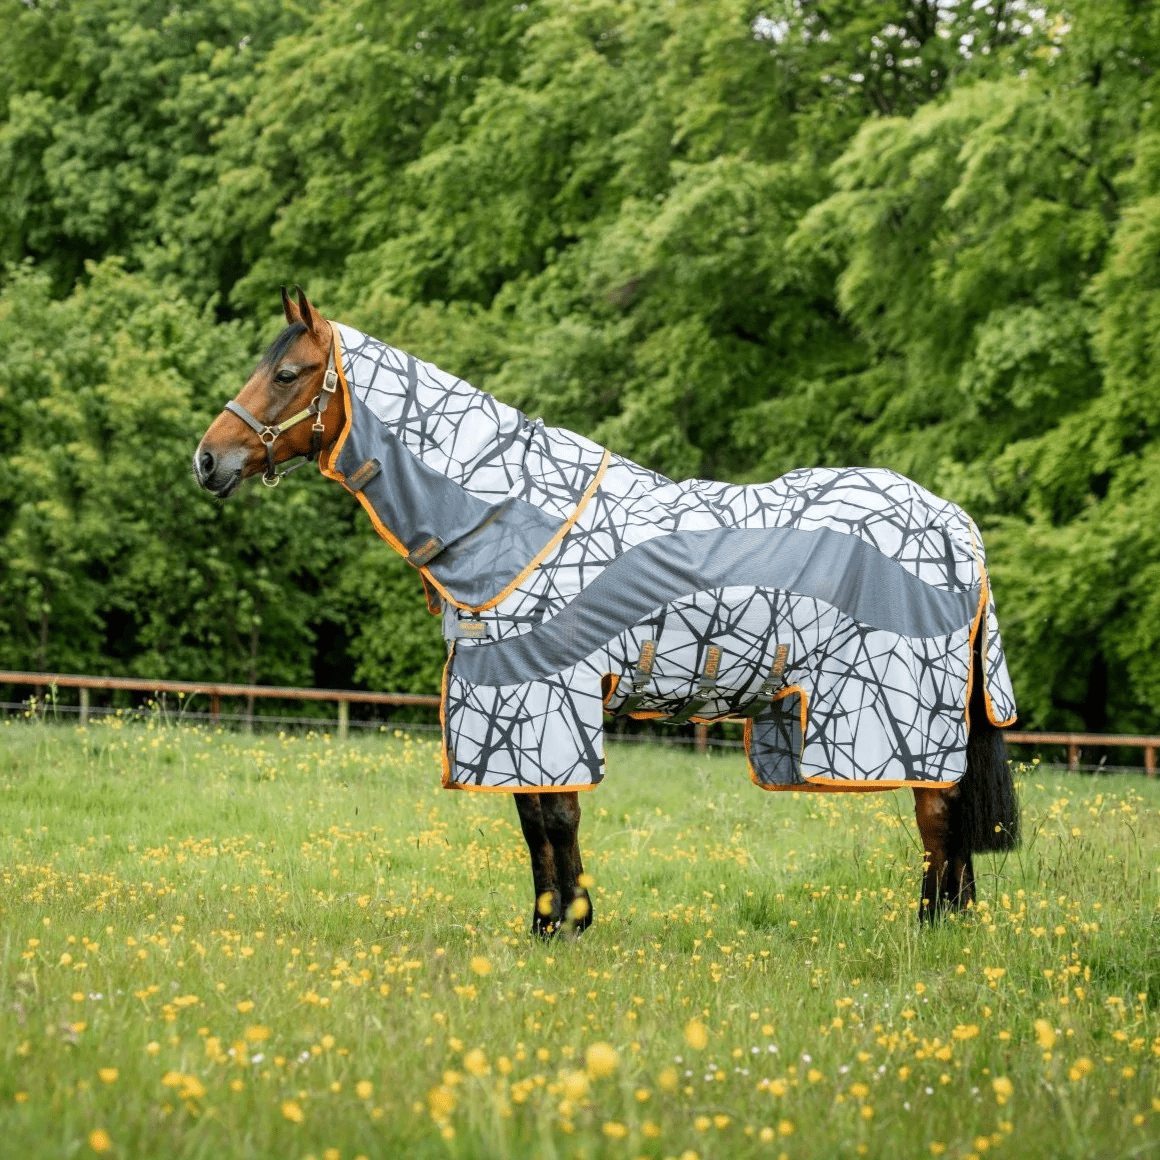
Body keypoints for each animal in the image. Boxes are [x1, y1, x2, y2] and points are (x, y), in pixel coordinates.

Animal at [194, 288, 1019, 935]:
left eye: (287, 373)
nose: (207, 460)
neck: (510, 518)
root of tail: (955, 522)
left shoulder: (543, 697)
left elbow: (557, 817)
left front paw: (570, 923)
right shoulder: (513, 701)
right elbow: (534, 823)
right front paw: (548, 924)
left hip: (904, 714)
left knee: (938, 817)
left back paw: (931, 927)